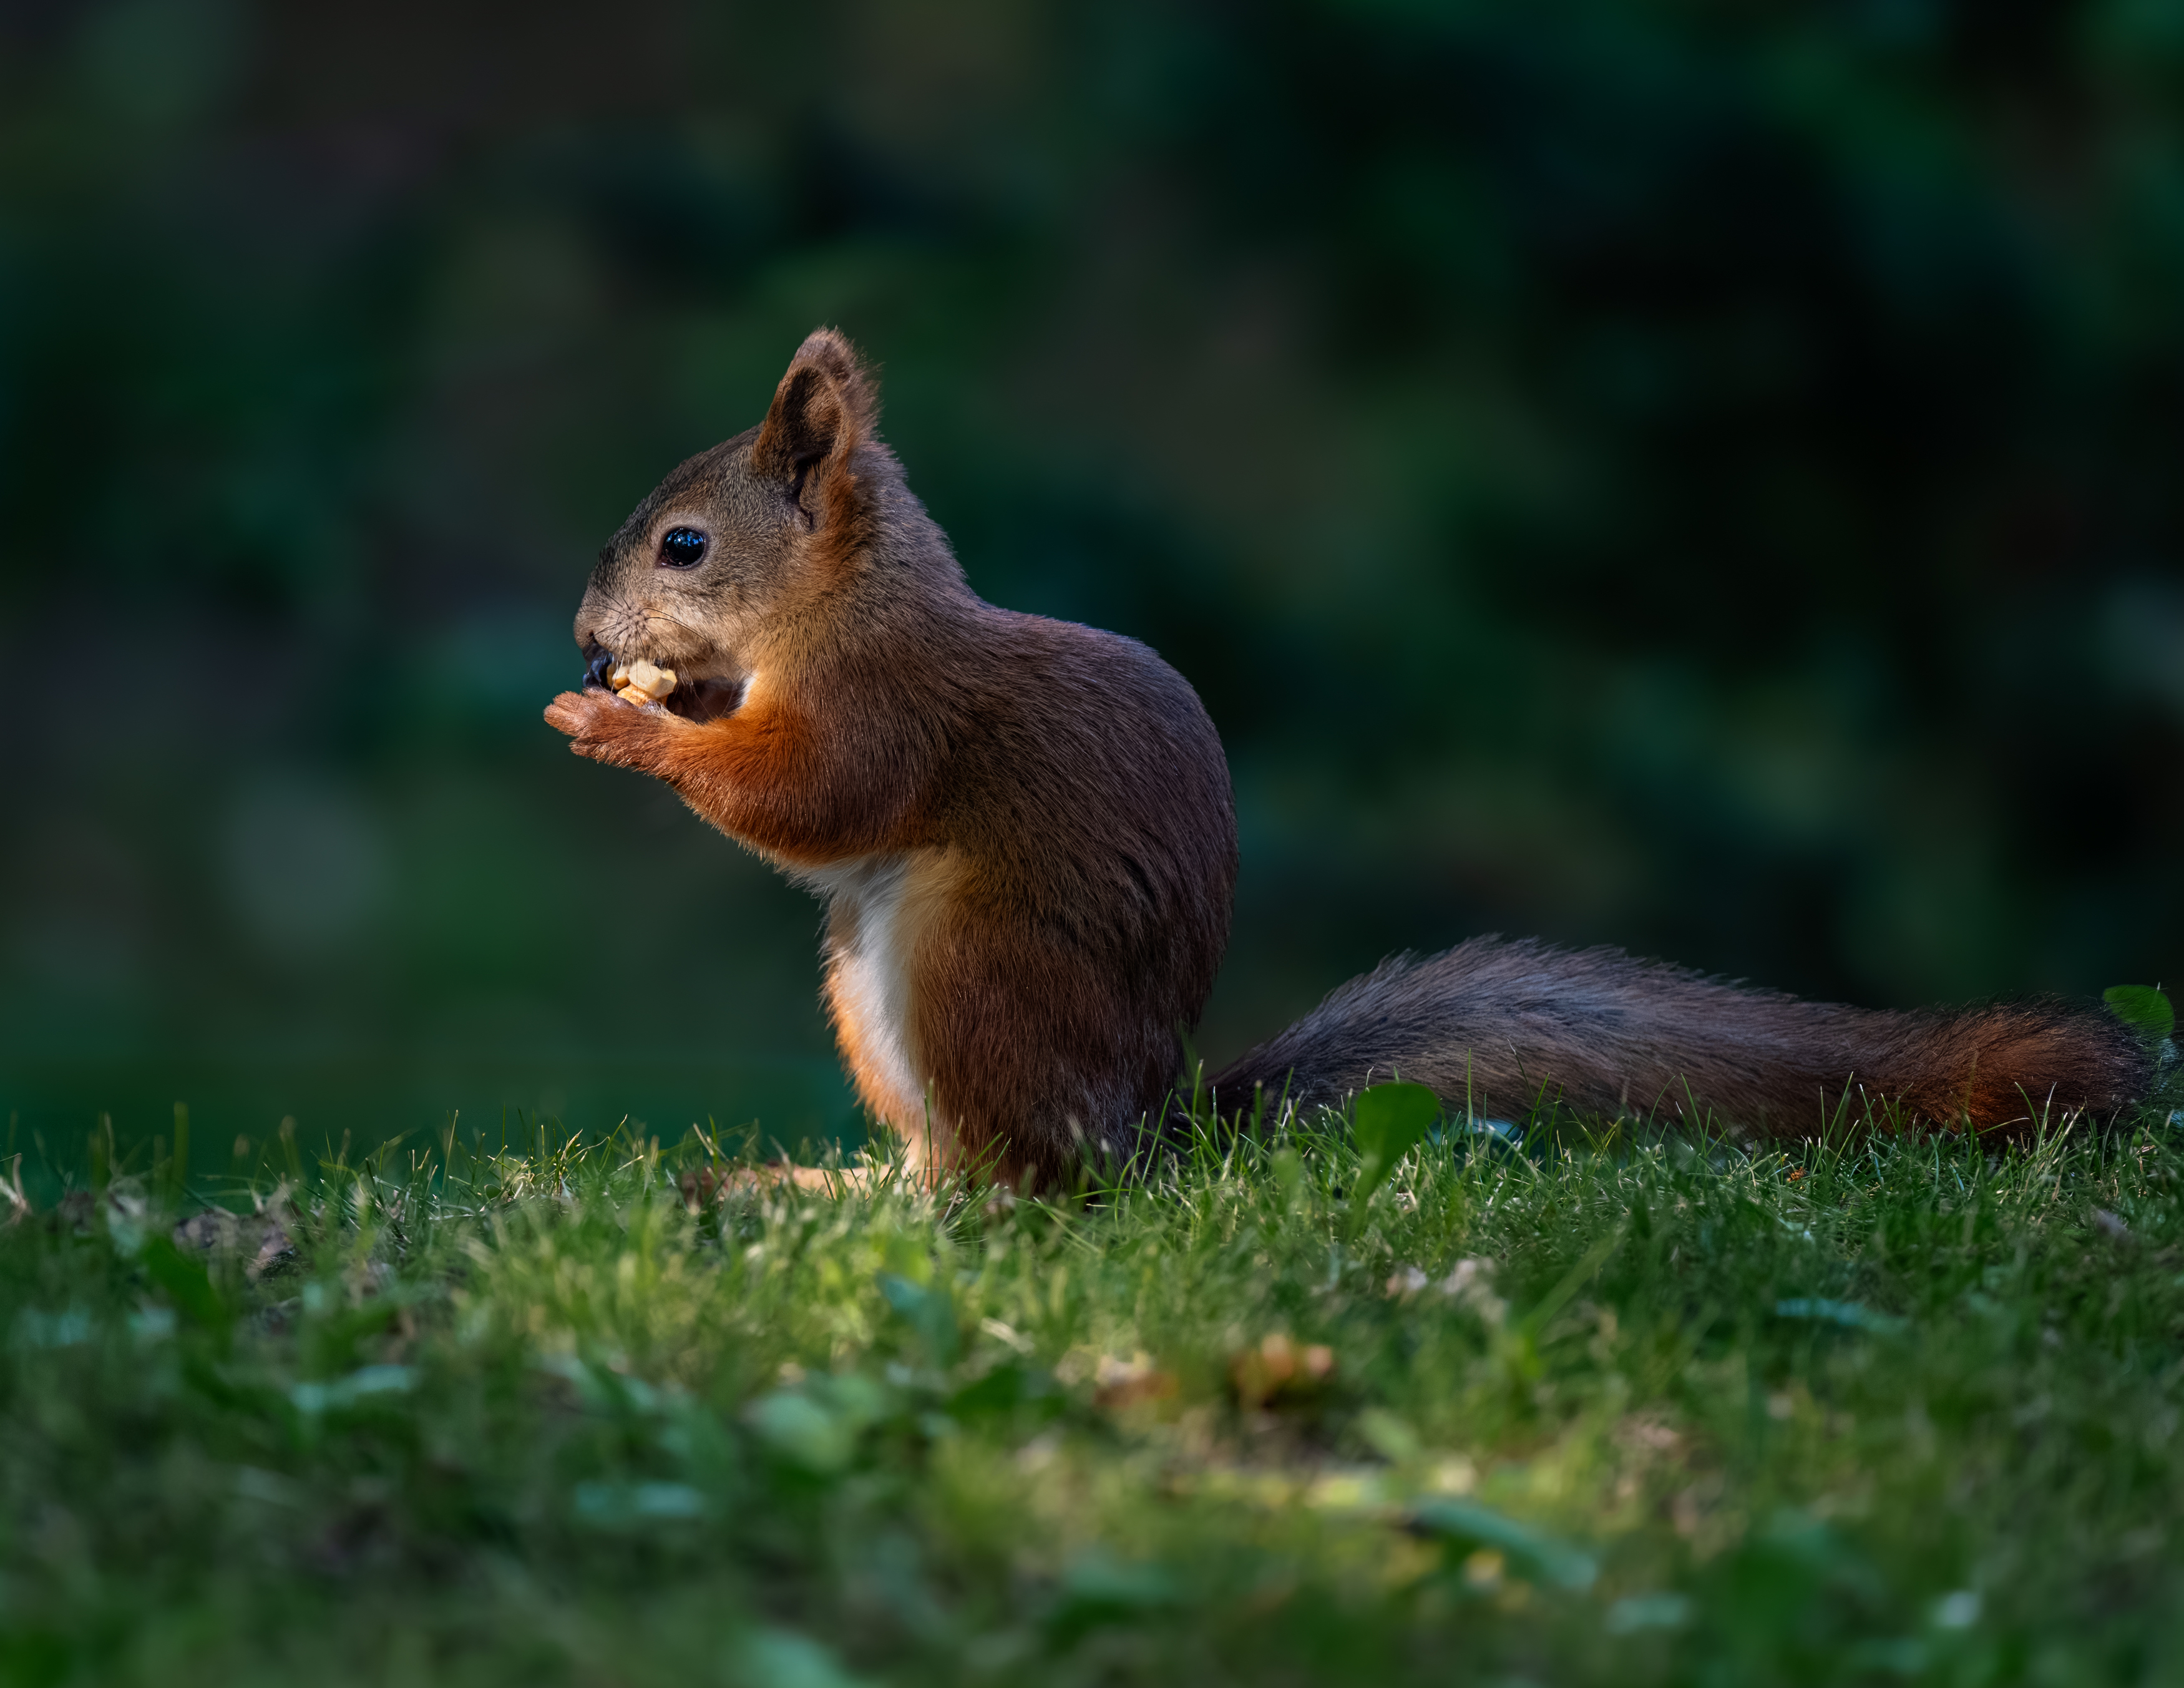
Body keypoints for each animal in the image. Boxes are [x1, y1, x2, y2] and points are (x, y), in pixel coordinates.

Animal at [542, 329, 2149, 1188]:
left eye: (684, 544)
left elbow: (814, 796)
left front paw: (619, 720)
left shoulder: (896, 705)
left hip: (972, 967)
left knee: (1030, 1181)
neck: (846, 606)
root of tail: (1152, 1131)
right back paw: (821, 1181)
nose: (583, 634)